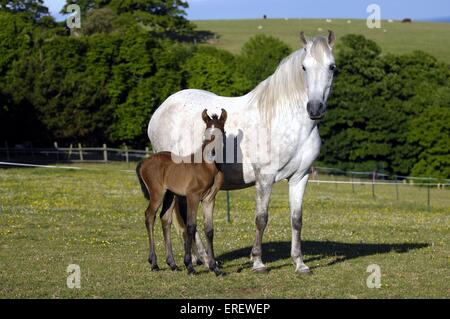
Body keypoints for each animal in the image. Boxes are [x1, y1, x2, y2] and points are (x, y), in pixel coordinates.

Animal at [135, 109, 227, 276]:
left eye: (221, 132)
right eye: (205, 133)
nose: (212, 153)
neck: (207, 167)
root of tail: (144, 162)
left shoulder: (209, 199)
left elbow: (209, 229)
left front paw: (215, 268)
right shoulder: (192, 196)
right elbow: (190, 226)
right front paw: (189, 266)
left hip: (170, 195)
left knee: (165, 218)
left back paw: (172, 264)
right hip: (157, 193)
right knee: (149, 215)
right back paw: (154, 263)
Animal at [149, 30, 336, 276]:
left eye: (332, 67)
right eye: (304, 67)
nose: (315, 108)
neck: (284, 119)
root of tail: (160, 111)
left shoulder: (300, 177)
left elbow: (297, 220)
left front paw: (300, 263)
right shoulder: (265, 177)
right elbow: (261, 219)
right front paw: (258, 262)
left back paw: (200, 259)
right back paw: (204, 259)